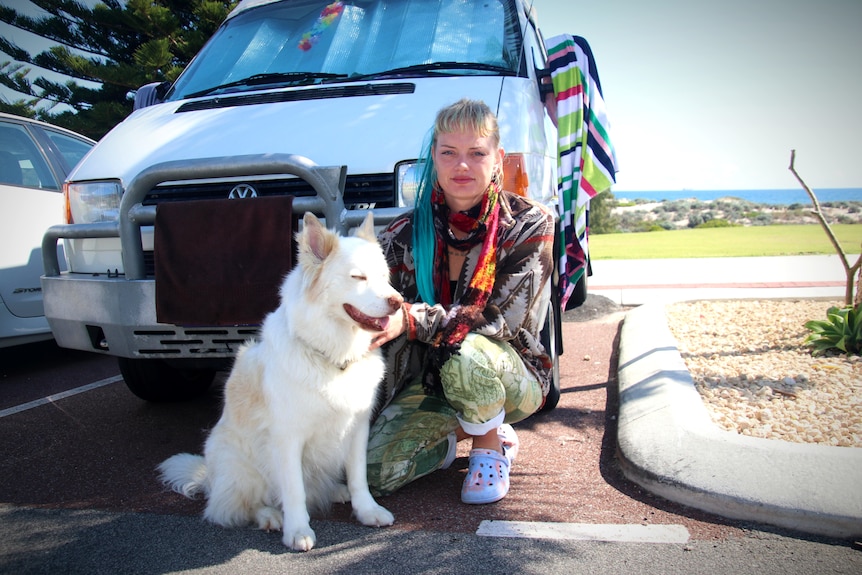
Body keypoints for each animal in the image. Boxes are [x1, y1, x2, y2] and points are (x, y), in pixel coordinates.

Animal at [159, 210, 402, 548]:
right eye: (358, 278)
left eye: (384, 277)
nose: (399, 302)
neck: (332, 356)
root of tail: (209, 477)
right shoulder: (287, 439)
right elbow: (294, 491)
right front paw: (297, 531)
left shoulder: (357, 427)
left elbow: (359, 478)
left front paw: (367, 511)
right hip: (240, 466)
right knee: (234, 506)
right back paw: (270, 516)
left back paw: (334, 492)